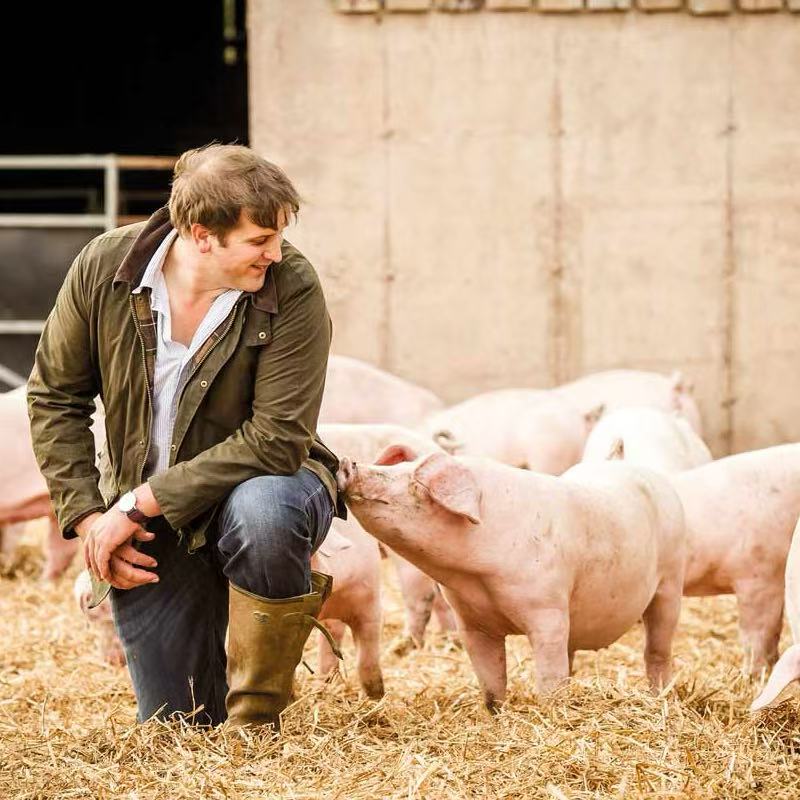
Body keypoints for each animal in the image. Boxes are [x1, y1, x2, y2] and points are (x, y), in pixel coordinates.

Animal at [338, 446, 686, 709]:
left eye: (410, 481)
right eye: (400, 467)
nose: (347, 463)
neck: (478, 579)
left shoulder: (548, 612)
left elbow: (547, 678)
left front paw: (552, 711)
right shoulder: (473, 623)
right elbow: (492, 681)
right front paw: (496, 714)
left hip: (669, 584)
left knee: (657, 650)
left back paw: (661, 697)